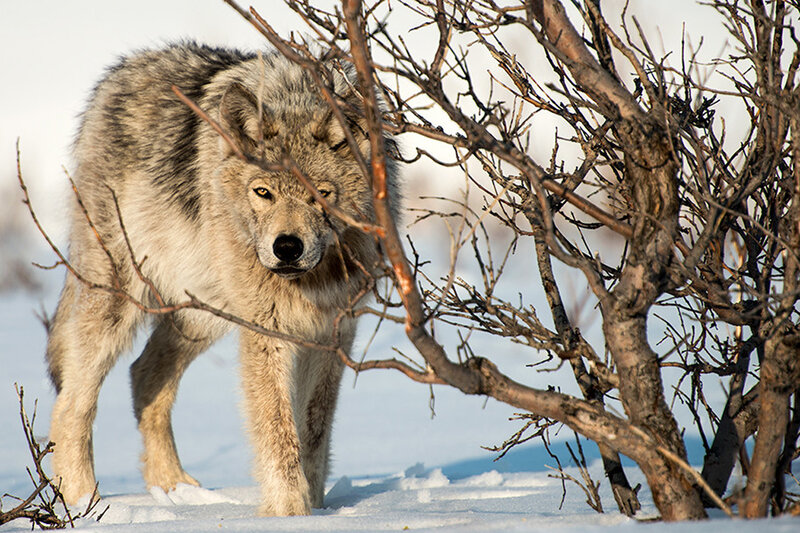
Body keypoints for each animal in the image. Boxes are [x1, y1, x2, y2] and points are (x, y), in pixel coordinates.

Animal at [46, 42, 398, 516]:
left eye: (320, 195)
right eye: (263, 192)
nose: (287, 247)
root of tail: (117, 74)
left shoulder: (333, 334)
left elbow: (314, 431)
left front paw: (318, 508)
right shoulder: (265, 331)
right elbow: (278, 431)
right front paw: (289, 513)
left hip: (202, 315)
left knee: (144, 375)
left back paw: (175, 492)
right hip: (119, 304)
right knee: (72, 405)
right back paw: (86, 503)